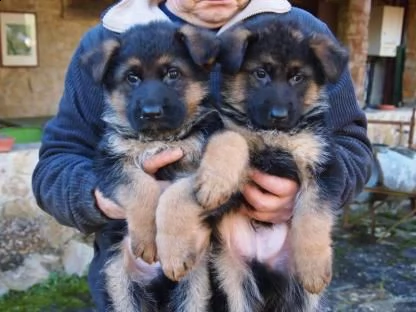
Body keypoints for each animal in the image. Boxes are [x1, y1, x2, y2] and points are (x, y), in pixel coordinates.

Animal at [83, 20, 221, 310]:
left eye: (173, 74)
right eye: (131, 78)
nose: (151, 112)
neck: (160, 138)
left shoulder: (203, 171)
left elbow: (173, 195)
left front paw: (173, 251)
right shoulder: (111, 162)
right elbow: (141, 187)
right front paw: (147, 238)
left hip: (195, 285)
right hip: (119, 282)